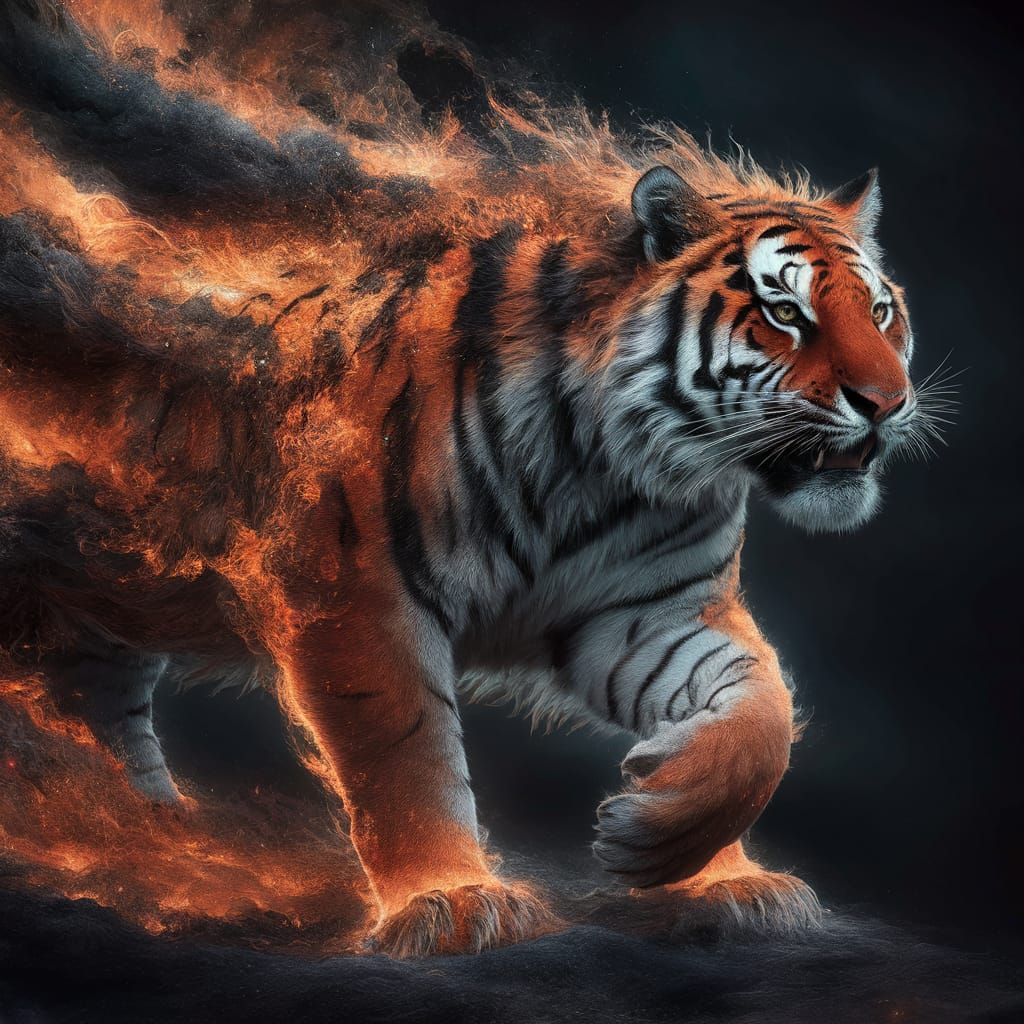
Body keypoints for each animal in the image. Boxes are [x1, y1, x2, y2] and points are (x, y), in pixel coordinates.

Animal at [0, 0, 929, 957]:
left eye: (880, 310)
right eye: (785, 312)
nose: (888, 403)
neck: (616, 470)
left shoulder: (652, 609)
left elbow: (761, 709)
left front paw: (683, 853)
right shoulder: (356, 594)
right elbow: (406, 756)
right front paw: (449, 901)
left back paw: (154, 841)